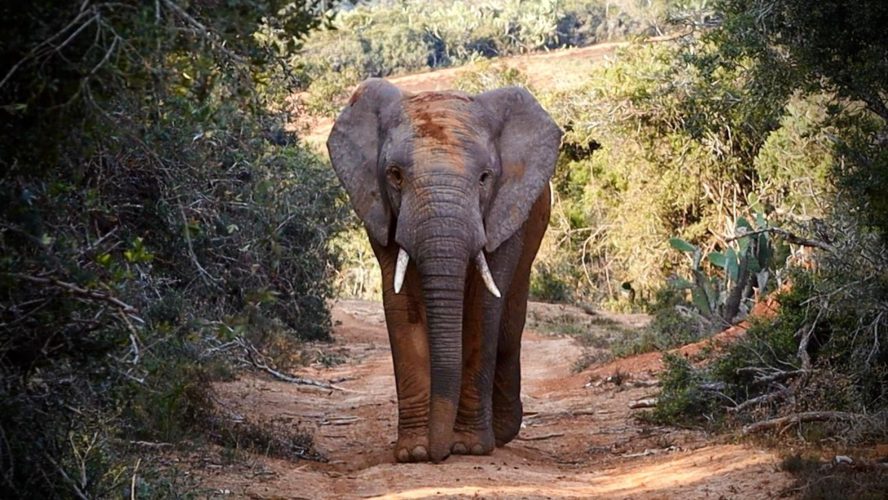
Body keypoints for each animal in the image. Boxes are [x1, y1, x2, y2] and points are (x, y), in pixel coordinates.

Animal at [327, 78, 562, 463]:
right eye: (395, 176)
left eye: (484, 178)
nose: (441, 455)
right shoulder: (381, 212)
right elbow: (400, 306)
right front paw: (414, 453)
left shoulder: (504, 212)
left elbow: (483, 308)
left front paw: (469, 448)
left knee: (510, 326)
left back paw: (502, 432)